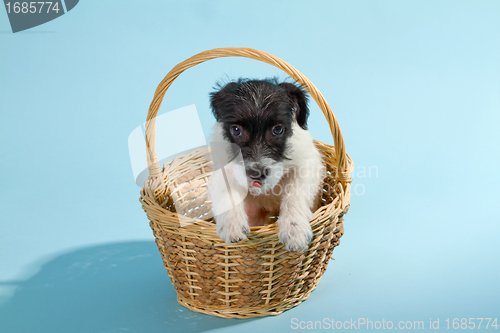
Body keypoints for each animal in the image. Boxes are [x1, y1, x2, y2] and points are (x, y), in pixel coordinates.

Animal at [206, 77, 324, 249]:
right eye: (236, 130)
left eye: (278, 129)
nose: (257, 173)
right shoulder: (223, 168)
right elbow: (226, 190)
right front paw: (232, 225)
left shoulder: (306, 164)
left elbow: (295, 194)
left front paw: (294, 229)